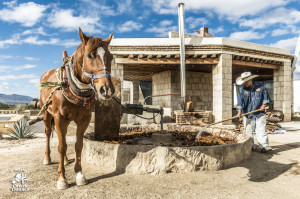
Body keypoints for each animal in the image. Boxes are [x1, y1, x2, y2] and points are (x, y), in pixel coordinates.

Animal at [39, 27, 115, 188]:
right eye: (90, 55)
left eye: (111, 57)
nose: (107, 90)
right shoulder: (59, 117)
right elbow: (61, 146)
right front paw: (62, 178)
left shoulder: (84, 119)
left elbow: (78, 145)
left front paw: (79, 174)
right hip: (47, 114)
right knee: (48, 134)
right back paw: (47, 158)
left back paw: (66, 160)